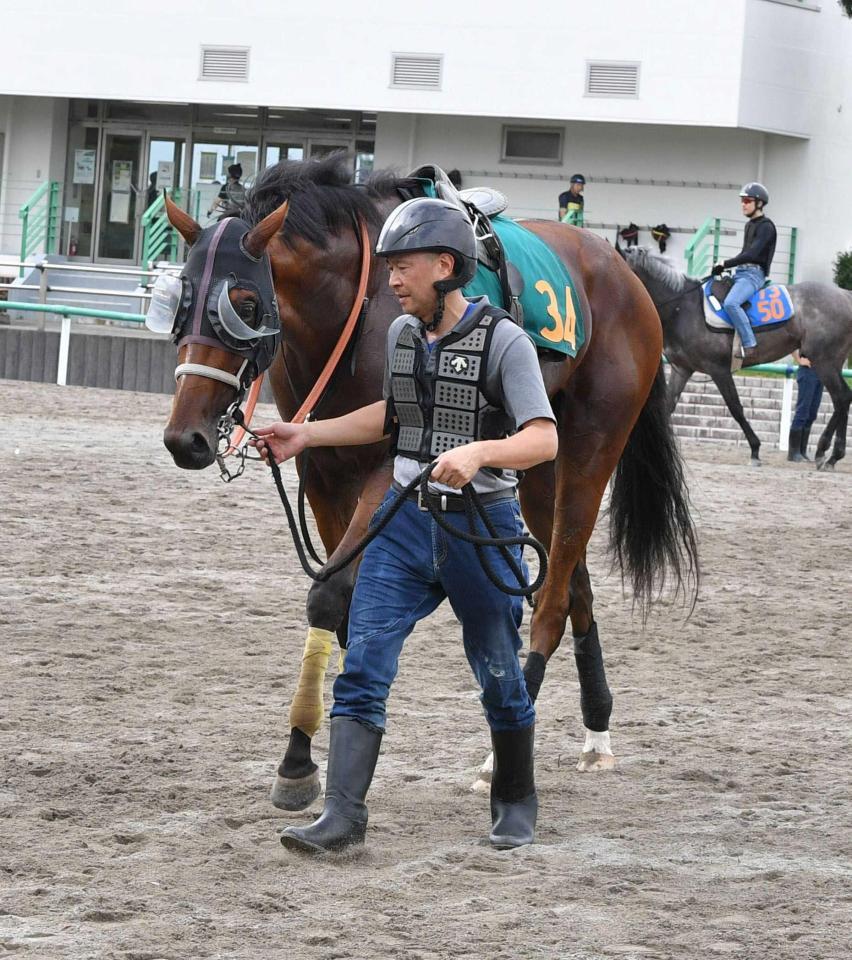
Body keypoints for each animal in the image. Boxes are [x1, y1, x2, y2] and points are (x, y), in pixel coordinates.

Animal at [620, 245, 852, 470]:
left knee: (841, 397)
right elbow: (668, 406)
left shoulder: (718, 369)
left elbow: (735, 408)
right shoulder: (682, 369)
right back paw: (830, 455)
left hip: (824, 362)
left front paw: (755, 450)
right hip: (830, 363)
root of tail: (845, 295)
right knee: (843, 398)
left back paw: (827, 453)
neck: (683, 308)